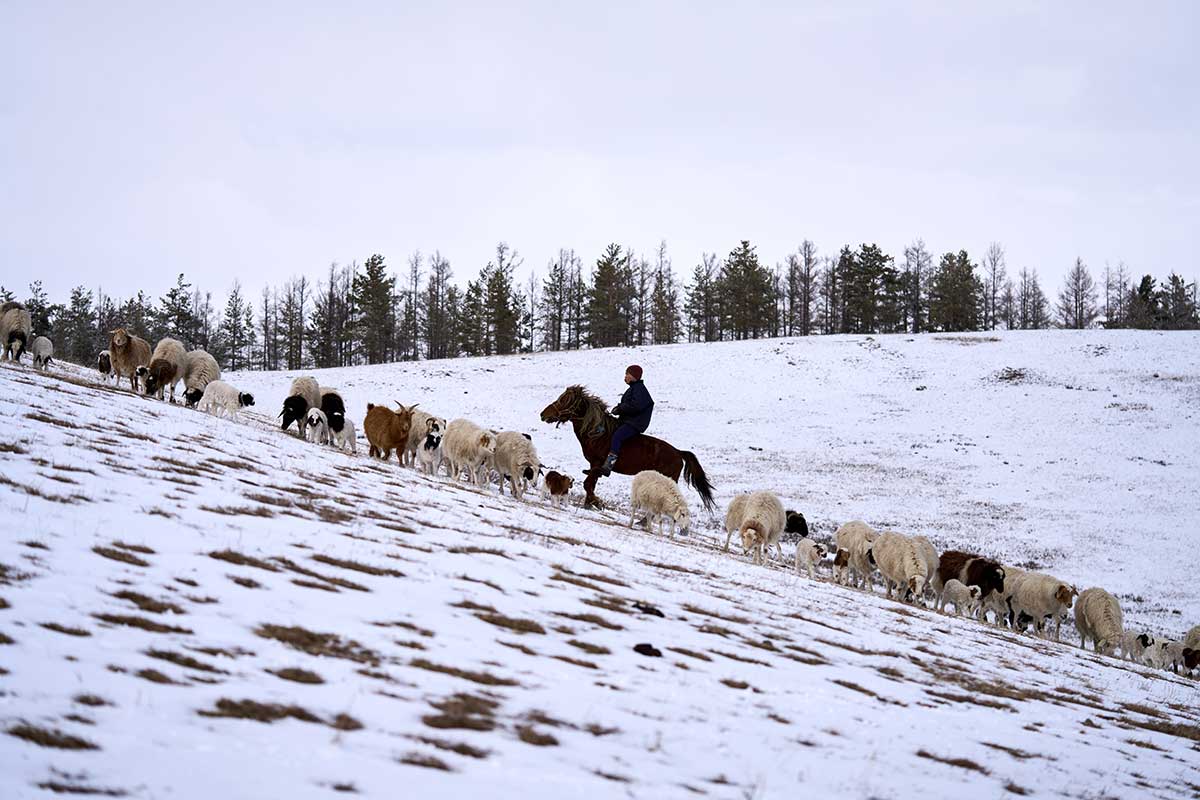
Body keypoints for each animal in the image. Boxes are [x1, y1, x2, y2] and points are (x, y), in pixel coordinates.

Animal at [542, 388, 715, 513]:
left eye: (564, 400)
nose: (543, 414)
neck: (597, 433)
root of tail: (678, 452)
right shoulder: (593, 466)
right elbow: (590, 484)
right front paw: (589, 504)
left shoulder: (597, 464)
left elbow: (587, 484)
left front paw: (597, 502)